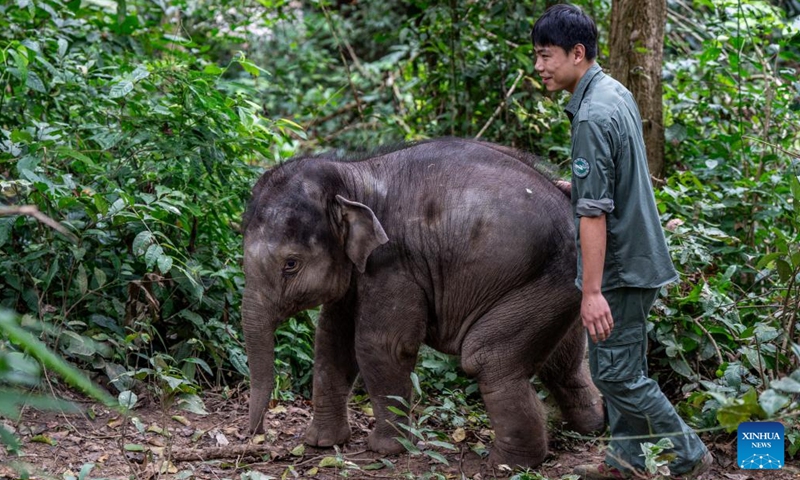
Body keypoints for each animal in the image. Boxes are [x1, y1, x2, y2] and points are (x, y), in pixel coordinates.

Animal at [241, 137, 604, 468]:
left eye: (291, 264)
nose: (256, 439)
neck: (353, 176)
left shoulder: (394, 263)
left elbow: (381, 345)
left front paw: (387, 449)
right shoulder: (358, 269)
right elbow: (331, 342)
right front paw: (322, 443)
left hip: (545, 279)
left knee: (488, 359)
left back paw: (507, 464)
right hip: (559, 287)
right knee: (563, 362)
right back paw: (590, 428)